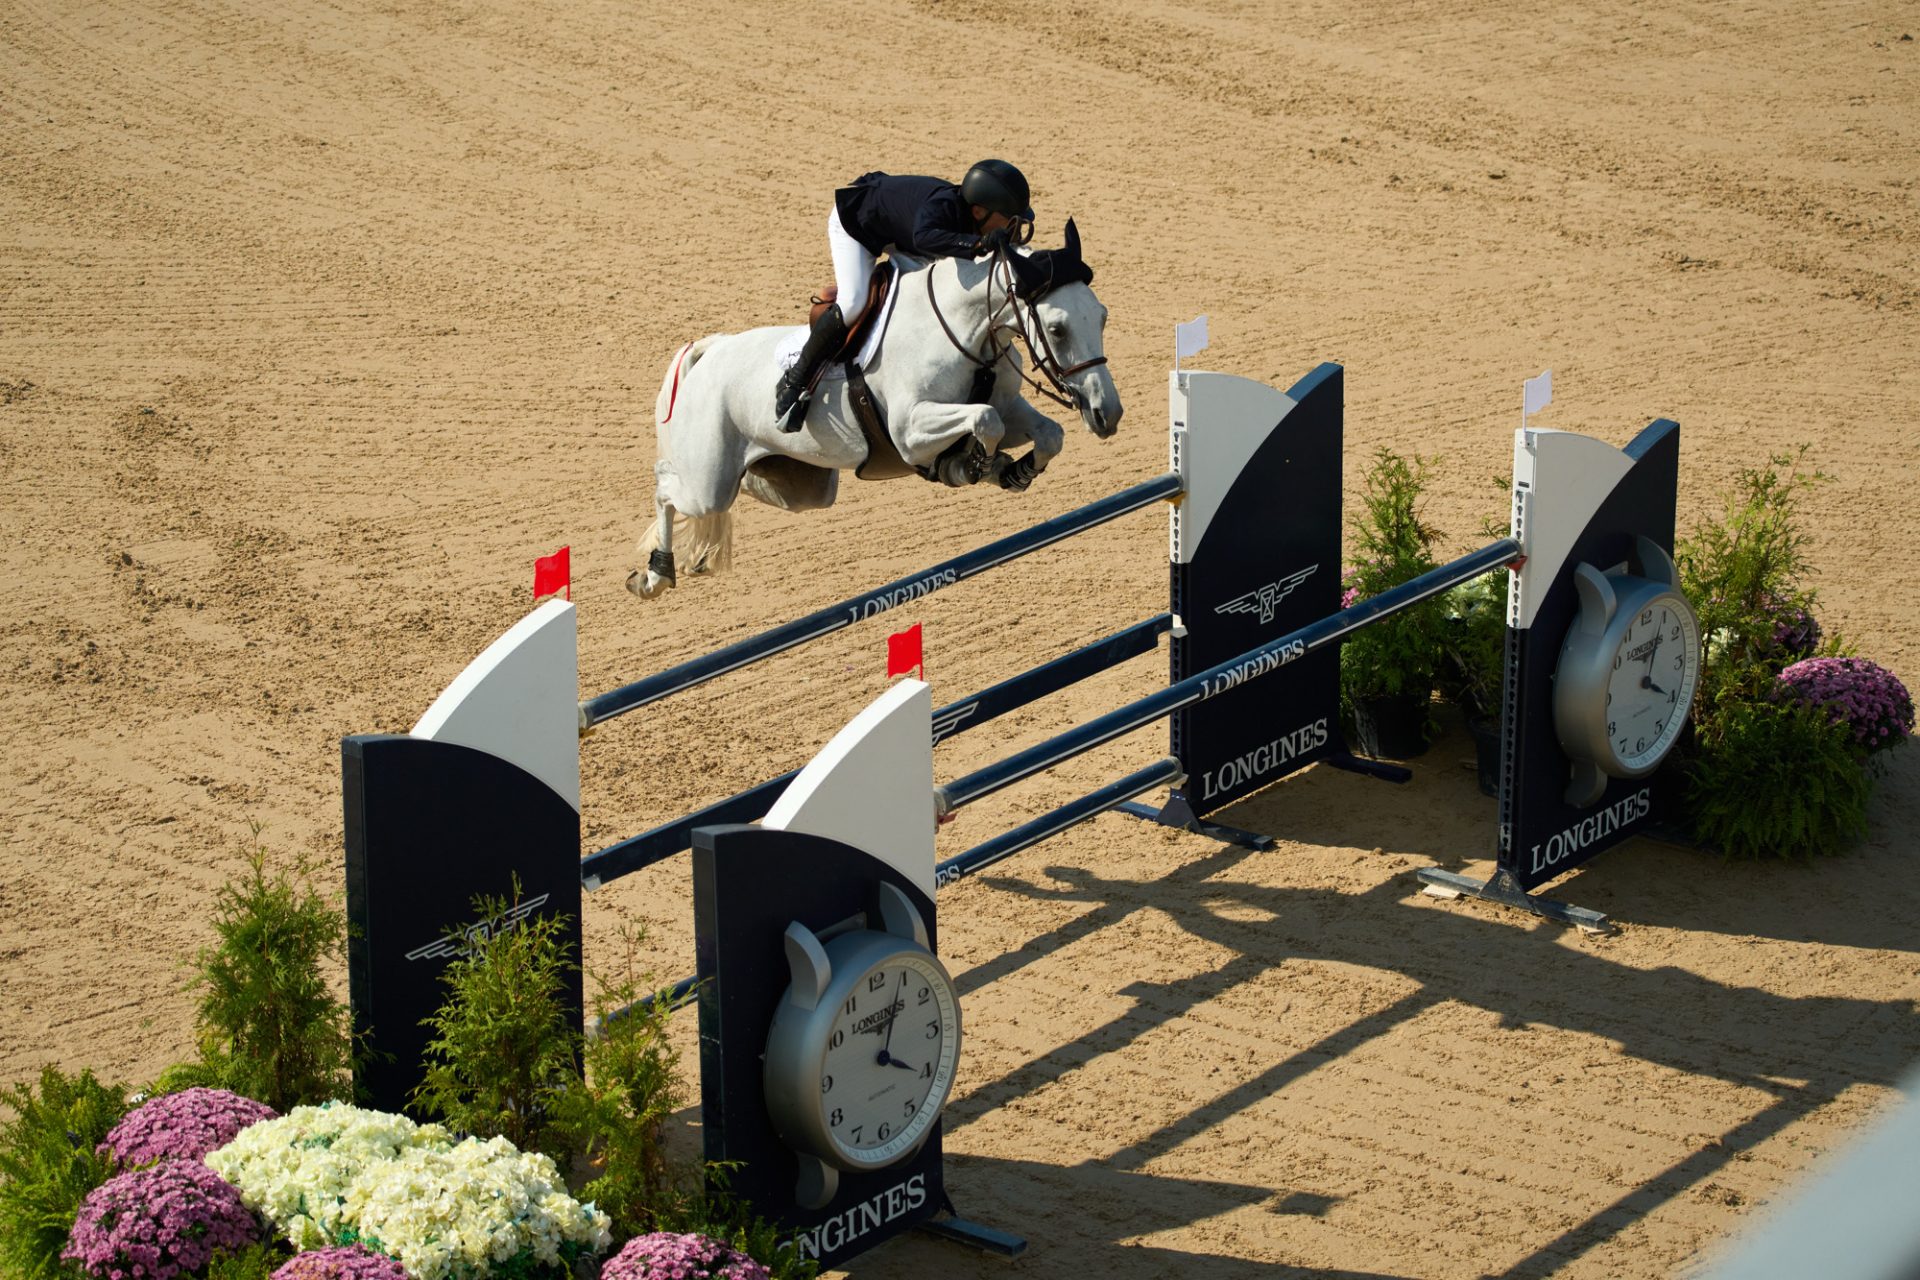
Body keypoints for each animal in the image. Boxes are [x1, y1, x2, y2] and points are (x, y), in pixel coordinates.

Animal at [627, 219, 1123, 599]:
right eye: (1057, 329)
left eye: (1102, 316)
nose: (1108, 414)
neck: (968, 329)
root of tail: (708, 353)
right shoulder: (909, 432)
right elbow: (986, 421)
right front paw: (971, 465)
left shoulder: (1008, 405)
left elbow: (1045, 433)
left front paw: (1014, 471)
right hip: (707, 481)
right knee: (665, 486)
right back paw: (655, 574)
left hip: (797, 485)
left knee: (729, 488)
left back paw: (697, 557)